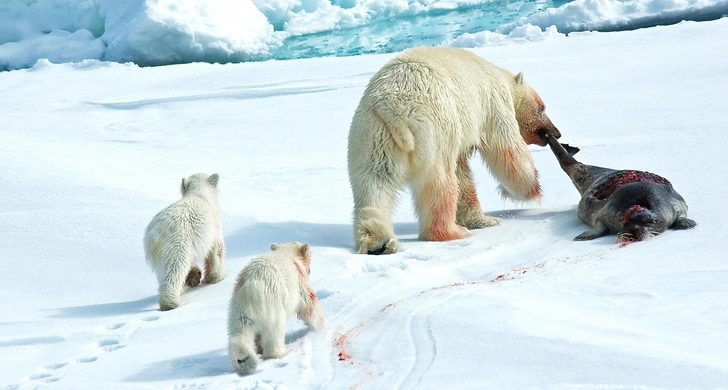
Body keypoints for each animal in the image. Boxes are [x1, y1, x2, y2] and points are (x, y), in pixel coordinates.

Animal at [350, 45, 560, 254]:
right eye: (542, 107)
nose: (556, 133)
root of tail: (394, 109)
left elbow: (463, 175)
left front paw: (482, 220)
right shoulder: (494, 106)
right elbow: (507, 150)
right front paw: (525, 191)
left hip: (374, 136)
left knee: (375, 182)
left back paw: (379, 242)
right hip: (435, 129)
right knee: (440, 183)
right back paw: (451, 232)